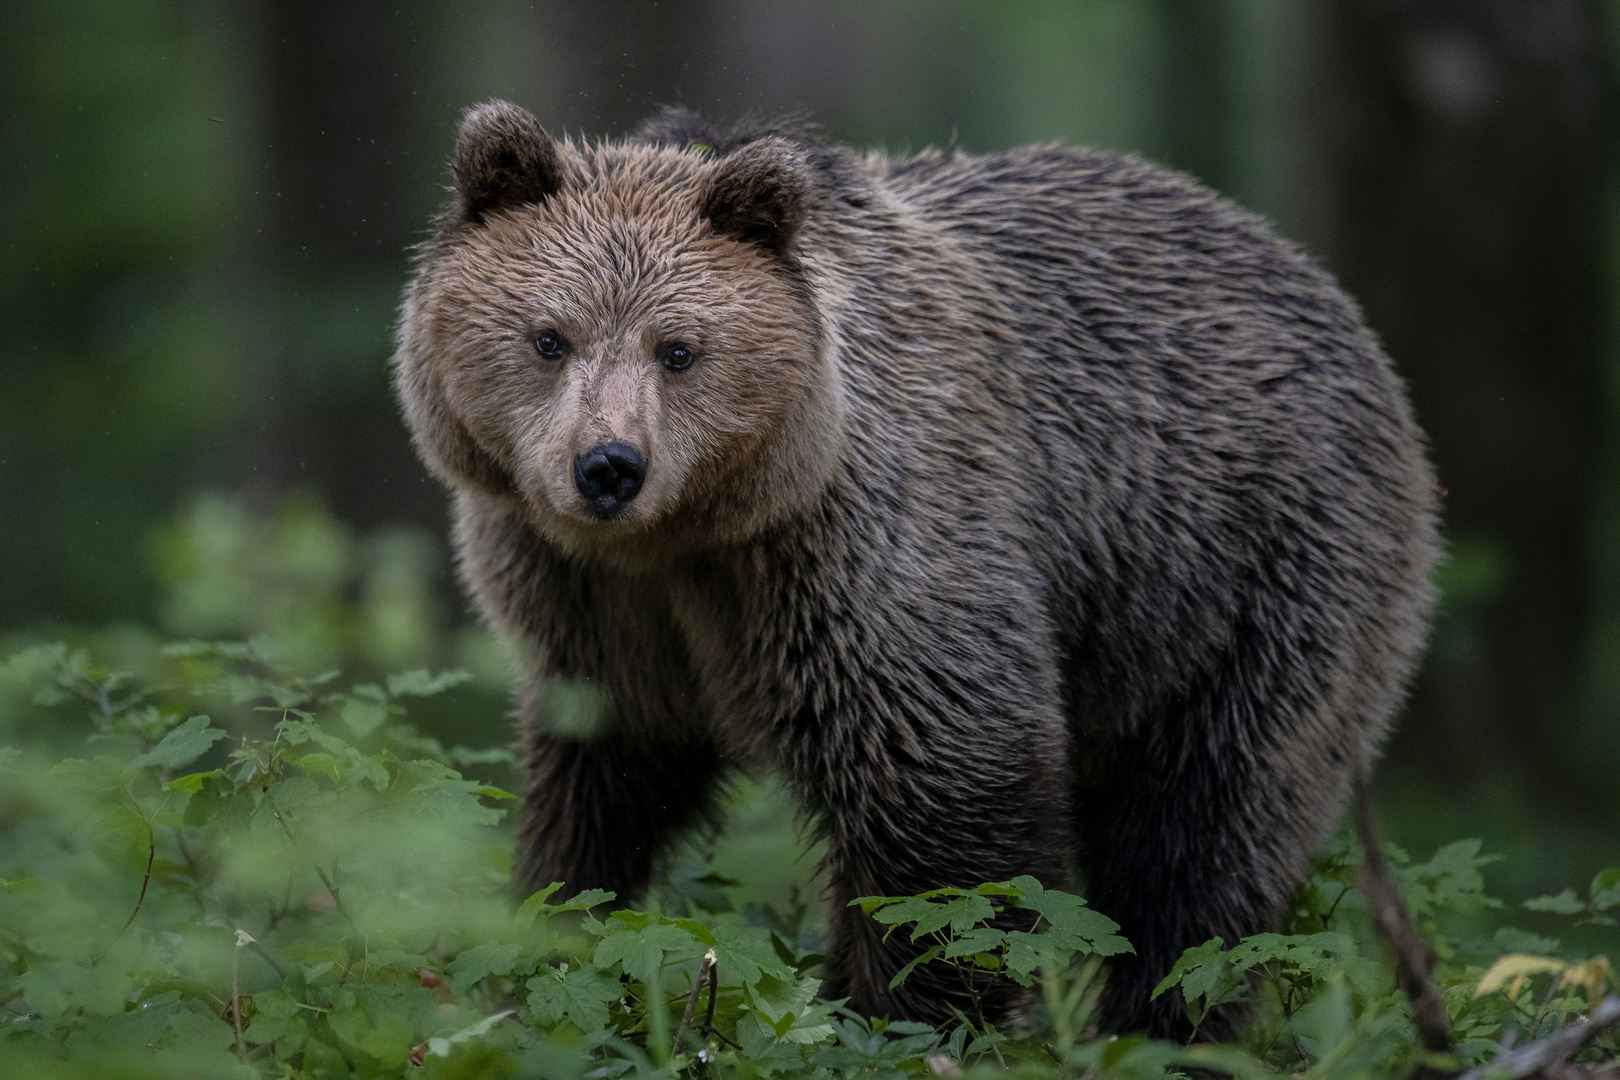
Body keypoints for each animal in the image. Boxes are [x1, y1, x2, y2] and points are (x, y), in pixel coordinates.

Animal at [392, 99, 1445, 1036]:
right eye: (548, 336)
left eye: (679, 349)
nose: (609, 466)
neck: (694, 536)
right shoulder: (593, 604)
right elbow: (598, 781)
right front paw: (541, 934)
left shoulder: (863, 546)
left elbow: (944, 790)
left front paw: (895, 1013)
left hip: (1247, 569)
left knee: (1205, 836)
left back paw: (1167, 1025)